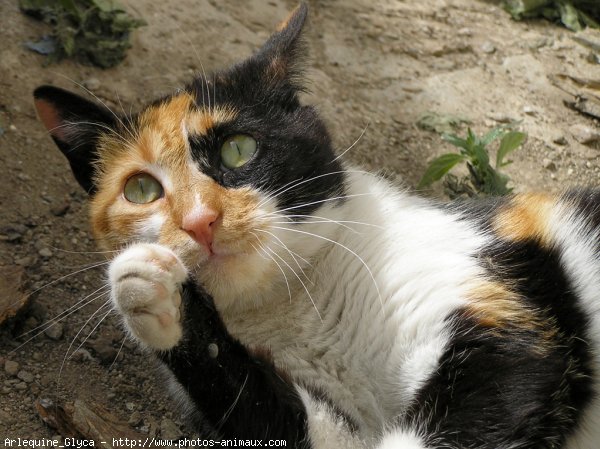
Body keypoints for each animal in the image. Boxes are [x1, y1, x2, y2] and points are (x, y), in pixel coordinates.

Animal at [31, 3, 600, 448]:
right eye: (141, 190)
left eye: (239, 149)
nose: (199, 221)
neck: (304, 313)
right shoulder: (326, 420)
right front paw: (153, 293)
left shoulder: (502, 317)